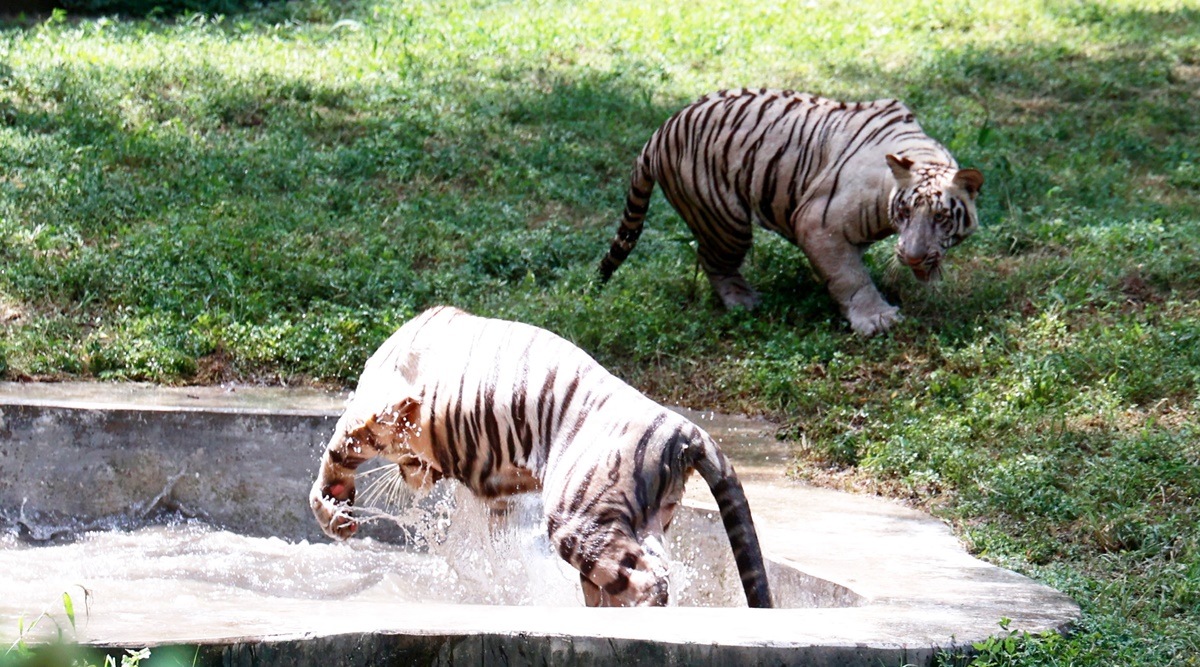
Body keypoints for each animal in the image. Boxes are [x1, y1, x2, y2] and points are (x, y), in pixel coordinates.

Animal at [309, 307, 772, 609]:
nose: (413, 478)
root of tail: (684, 429)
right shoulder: (500, 487)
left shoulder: (373, 408)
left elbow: (338, 449)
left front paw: (333, 510)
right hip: (647, 521)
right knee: (635, 576)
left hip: (577, 517)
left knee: (647, 581)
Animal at [600, 88, 984, 335]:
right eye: (904, 212)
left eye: (940, 218)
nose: (913, 257)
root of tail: (661, 129)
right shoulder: (819, 223)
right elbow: (850, 276)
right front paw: (876, 320)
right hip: (725, 223)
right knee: (713, 260)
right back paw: (744, 301)